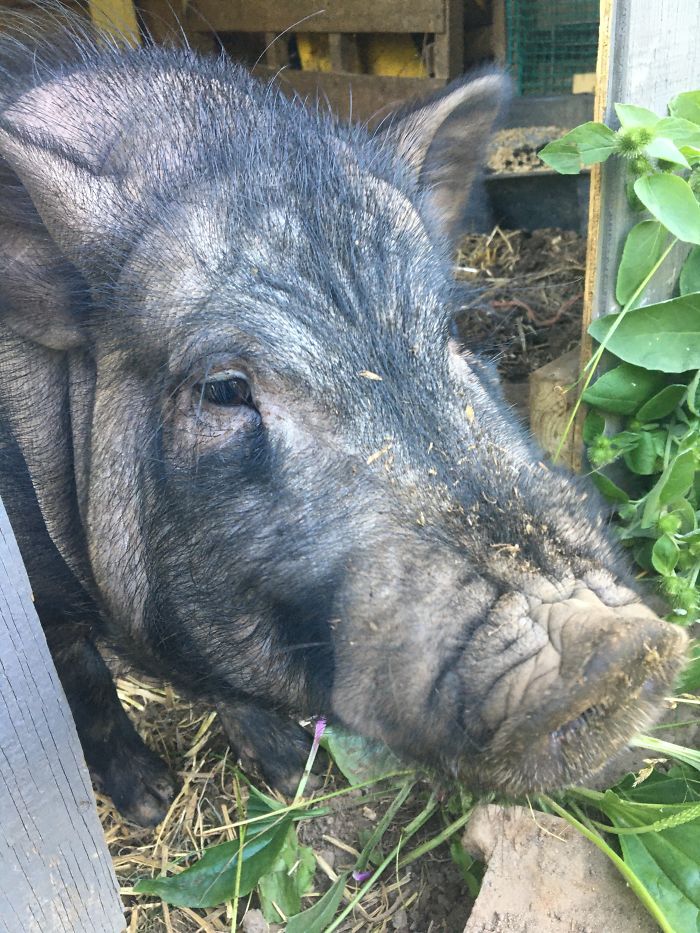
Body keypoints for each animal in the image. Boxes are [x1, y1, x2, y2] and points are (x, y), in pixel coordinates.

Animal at [0, 12, 688, 825]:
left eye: (451, 331)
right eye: (224, 389)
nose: (616, 646)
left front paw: (287, 768)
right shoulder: (39, 597)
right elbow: (85, 683)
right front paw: (152, 801)